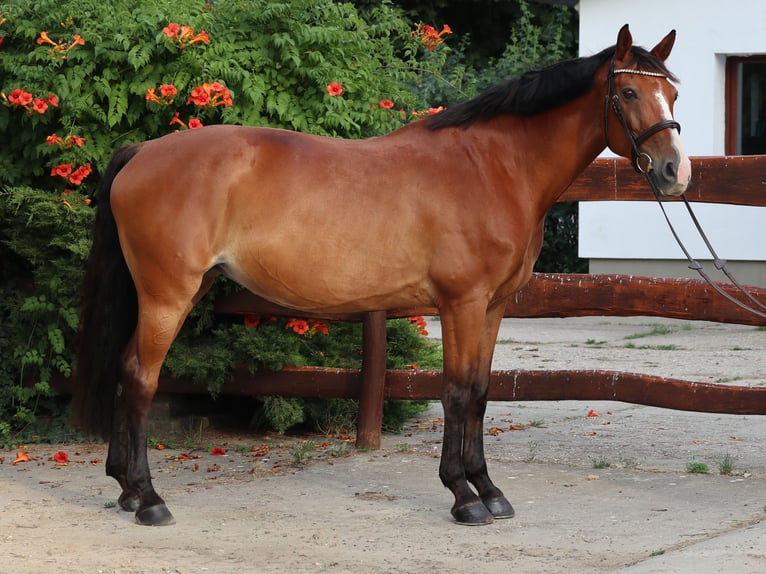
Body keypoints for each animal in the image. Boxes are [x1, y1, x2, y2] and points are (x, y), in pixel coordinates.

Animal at [75, 24, 690, 526]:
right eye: (629, 93)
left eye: (674, 94)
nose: (674, 172)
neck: (492, 167)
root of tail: (141, 152)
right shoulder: (461, 303)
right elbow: (456, 393)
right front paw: (463, 497)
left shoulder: (492, 307)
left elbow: (481, 393)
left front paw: (489, 490)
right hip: (167, 294)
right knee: (140, 378)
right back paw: (150, 500)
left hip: (180, 289)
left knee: (127, 370)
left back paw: (127, 490)